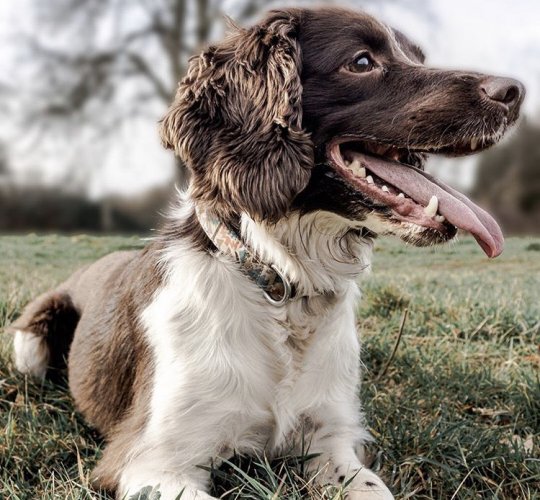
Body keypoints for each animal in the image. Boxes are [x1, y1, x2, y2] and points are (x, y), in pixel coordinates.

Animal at [11, 7, 524, 500]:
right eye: (361, 62)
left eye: (417, 57)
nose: (515, 90)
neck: (281, 286)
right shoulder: (153, 460)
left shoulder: (331, 438)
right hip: (31, 340)